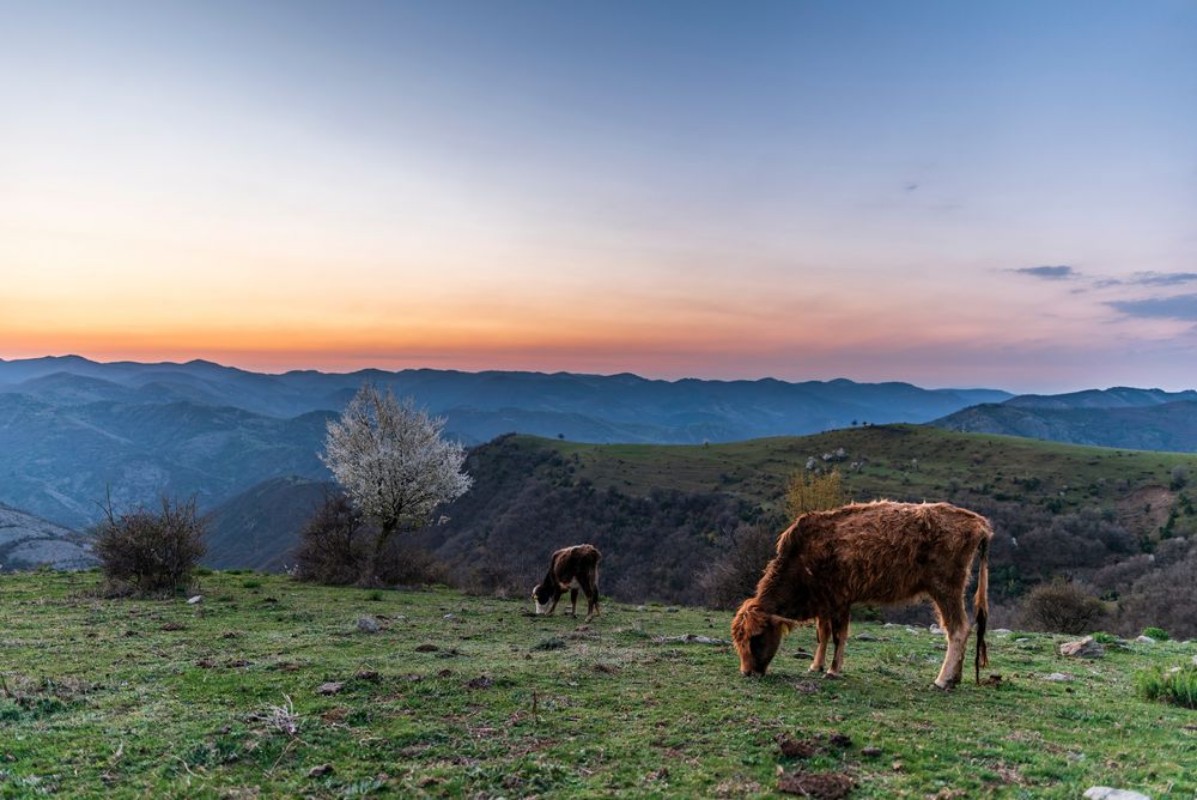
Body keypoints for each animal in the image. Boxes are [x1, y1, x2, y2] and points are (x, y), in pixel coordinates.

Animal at [731, 500, 992, 689]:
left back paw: (942, 680)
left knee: (958, 629)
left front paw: (832, 671)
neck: (802, 557)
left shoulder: (839, 599)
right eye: (739, 640)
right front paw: (816, 666)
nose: (746, 672)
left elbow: (838, 636)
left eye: (756, 637)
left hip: (946, 588)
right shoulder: (824, 602)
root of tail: (978, 522)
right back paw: (955, 679)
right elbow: (823, 634)